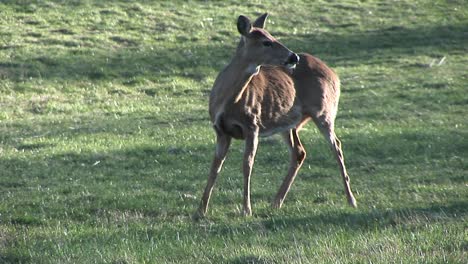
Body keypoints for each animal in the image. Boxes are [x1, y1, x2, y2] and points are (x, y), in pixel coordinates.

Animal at [194, 12, 358, 219]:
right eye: (266, 42)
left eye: (274, 37)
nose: (293, 56)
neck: (228, 103)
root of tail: (333, 73)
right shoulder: (220, 130)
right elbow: (215, 166)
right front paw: (200, 211)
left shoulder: (253, 125)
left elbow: (247, 165)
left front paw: (246, 210)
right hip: (288, 122)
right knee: (299, 151)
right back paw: (276, 202)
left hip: (324, 110)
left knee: (336, 145)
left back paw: (351, 200)